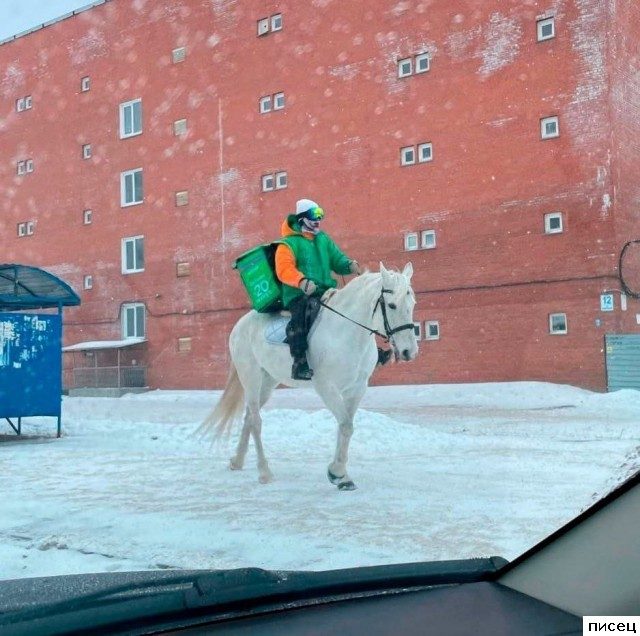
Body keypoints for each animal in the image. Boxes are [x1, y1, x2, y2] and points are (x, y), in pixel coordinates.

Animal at [200, 260, 420, 490]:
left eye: (412, 303)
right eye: (392, 305)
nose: (409, 352)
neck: (346, 331)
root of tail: (240, 324)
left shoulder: (356, 389)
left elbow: (345, 427)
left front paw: (340, 475)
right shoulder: (326, 387)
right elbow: (345, 426)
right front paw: (337, 472)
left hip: (268, 381)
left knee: (249, 418)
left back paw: (238, 461)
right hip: (251, 377)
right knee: (256, 422)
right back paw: (264, 472)